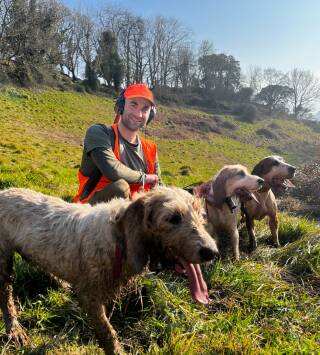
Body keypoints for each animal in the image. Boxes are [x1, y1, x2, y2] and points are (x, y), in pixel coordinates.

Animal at [0, 188, 218, 354]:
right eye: (173, 218)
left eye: (201, 216)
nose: (212, 252)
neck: (119, 239)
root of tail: (5, 192)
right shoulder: (90, 296)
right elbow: (107, 332)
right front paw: (115, 350)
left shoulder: (108, 291)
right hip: (3, 262)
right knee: (6, 297)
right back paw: (14, 330)